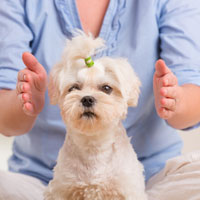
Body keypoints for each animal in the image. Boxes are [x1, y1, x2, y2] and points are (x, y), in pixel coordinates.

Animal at [44, 32, 146, 199]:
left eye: (106, 88)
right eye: (74, 88)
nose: (87, 99)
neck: (93, 146)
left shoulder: (128, 188)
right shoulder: (62, 188)